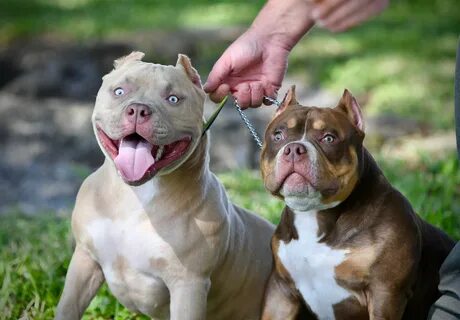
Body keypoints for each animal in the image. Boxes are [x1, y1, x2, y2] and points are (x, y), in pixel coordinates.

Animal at [258, 86, 452, 318]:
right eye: (278, 135)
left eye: (329, 138)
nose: (294, 149)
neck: (314, 215)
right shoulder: (281, 292)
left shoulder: (385, 293)